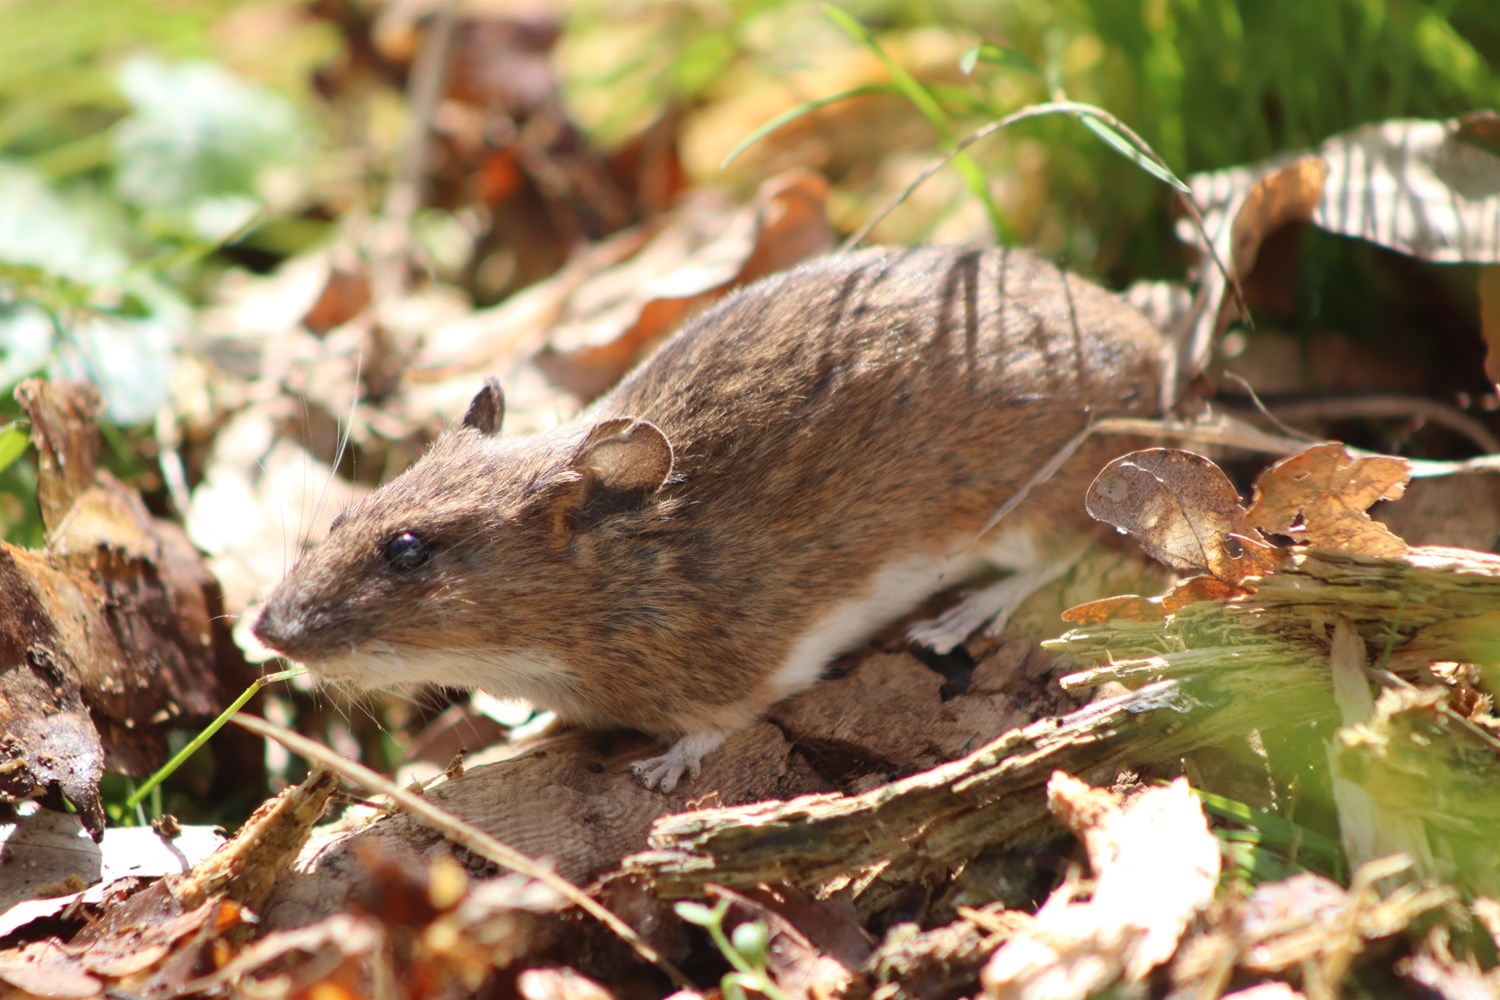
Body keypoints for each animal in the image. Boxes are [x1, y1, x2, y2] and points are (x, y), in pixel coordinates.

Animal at [252, 245, 1166, 790]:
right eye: (341, 519)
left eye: (408, 550)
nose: (264, 631)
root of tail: (1152, 350)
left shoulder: (744, 668)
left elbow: (717, 726)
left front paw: (660, 771)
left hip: (1035, 498)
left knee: (1051, 555)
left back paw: (961, 614)